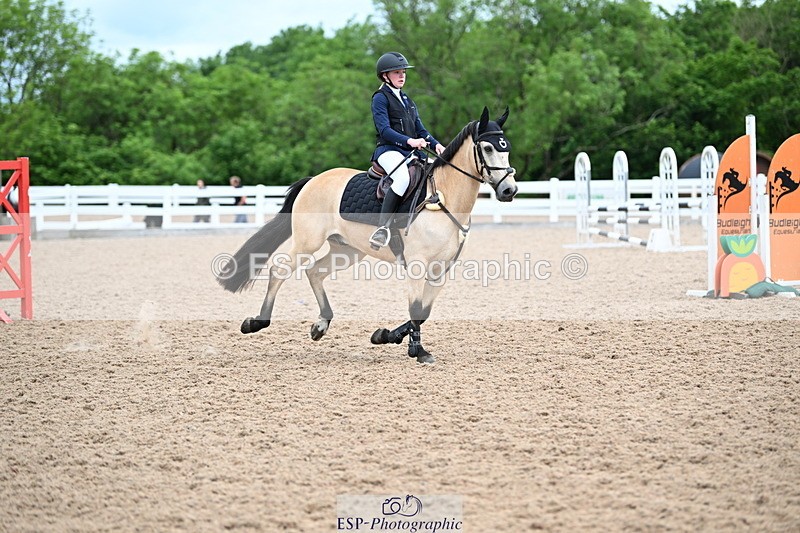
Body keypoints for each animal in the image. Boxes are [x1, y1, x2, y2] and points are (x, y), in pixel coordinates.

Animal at [217, 107, 518, 364]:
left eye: (507, 149)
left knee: (315, 271)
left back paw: (321, 324)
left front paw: (385, 336)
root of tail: (313, 180)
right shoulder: (417, 266)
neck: (443, 197)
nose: (509, 190)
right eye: (488, 148)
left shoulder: (440, 270)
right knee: (280, 270)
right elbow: (415, 309)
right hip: (307, 242)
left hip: (347, 251)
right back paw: (256, 322)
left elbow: (423, 313)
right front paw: (417, 351)